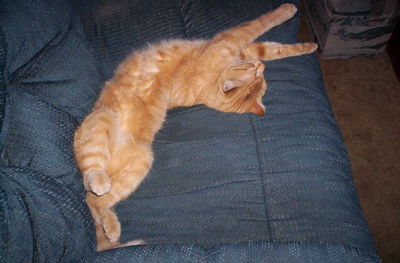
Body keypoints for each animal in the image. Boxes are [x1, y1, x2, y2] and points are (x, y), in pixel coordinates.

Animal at [73, 3, 318, 252]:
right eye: (252, 71)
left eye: (259, 76)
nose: (259, 67)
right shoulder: (230, 40)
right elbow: (260, 24)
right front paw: (287, 11)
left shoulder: (240, 48)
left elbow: (268, 48)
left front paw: (308, 46)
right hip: (102, 120)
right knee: (92, 185)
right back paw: (103, 198)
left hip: (141, 162)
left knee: (97, 201)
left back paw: (111, 225)